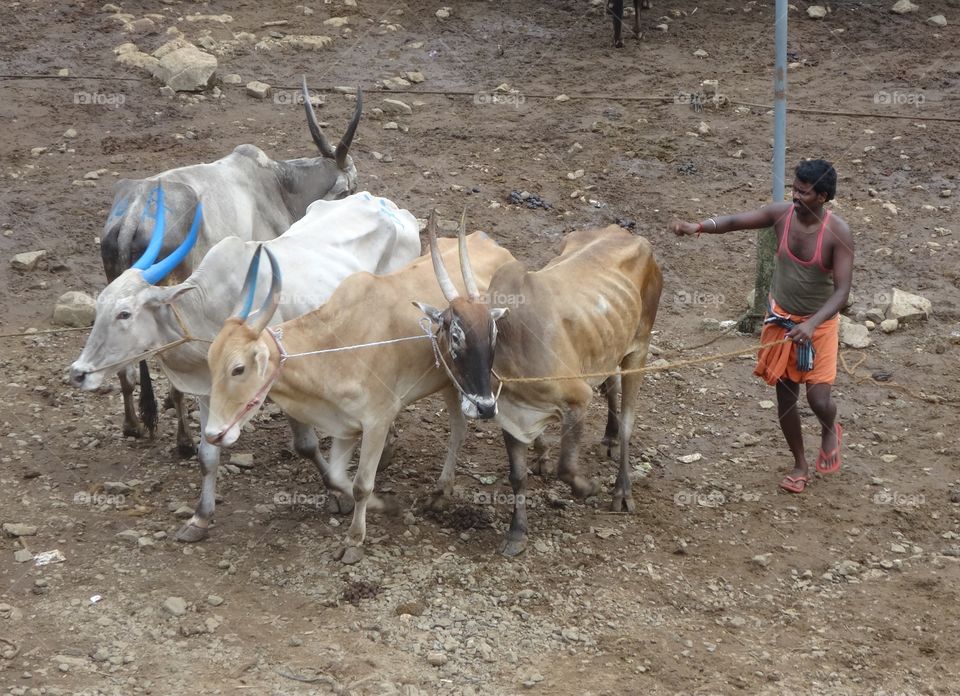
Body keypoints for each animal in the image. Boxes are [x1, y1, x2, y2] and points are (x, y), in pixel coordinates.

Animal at [70, 191, 419, 542]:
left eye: (124, 314)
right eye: (99, 306)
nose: (78, 373)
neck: (212, 306)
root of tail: (385, 205)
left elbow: (305, 445)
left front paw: (338, 494)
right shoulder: (210, 394)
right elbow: (207, 455)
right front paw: (200, 517)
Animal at [203, 213, 516, 563]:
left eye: (238, 368)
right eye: (210, 364)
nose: (213, 434)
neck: (336, 346)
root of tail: (489, 242)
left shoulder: (377, 420)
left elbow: (362, 484)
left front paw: (355, 539)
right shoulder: (345, 427)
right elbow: (340, 479)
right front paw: (385, 505)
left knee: (460, 429)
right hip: (452, 383)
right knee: (459, 426)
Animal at [419, 224, 663, 556]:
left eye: (493, 333)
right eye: (455, 337)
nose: (483, 406)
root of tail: (625, 232)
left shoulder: (578, 400)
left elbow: (566, 468)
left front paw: (590, 487)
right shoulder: (511, 416)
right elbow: (518, 477)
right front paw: (517, 532)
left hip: (639, 347)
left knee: (628, 422)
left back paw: (622, 490)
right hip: (609, 347)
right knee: (611, 385)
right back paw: (609, 438)